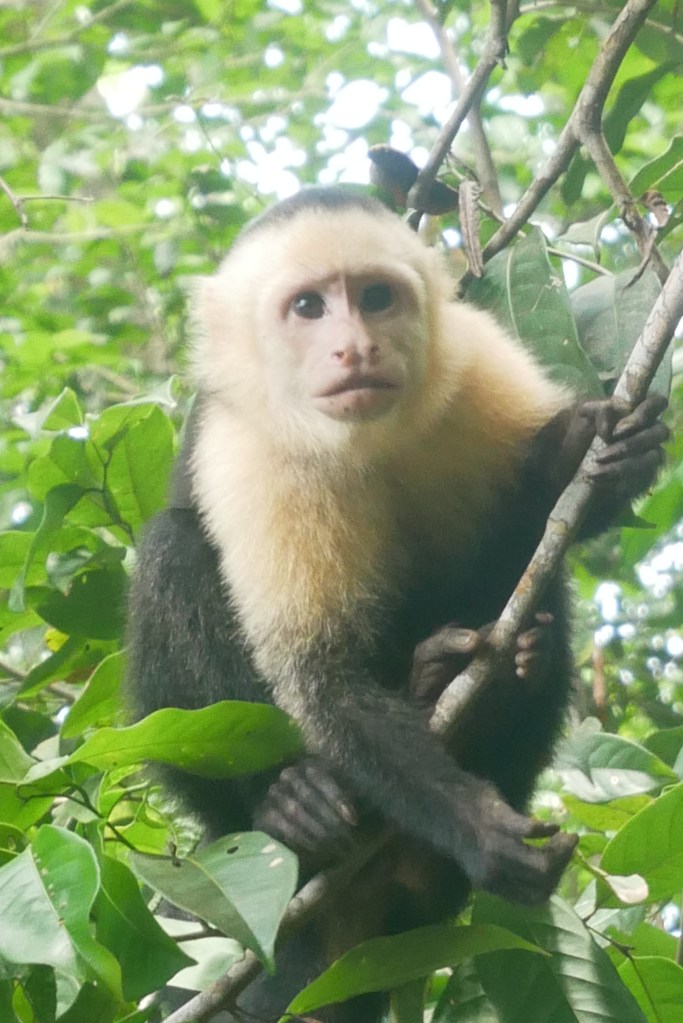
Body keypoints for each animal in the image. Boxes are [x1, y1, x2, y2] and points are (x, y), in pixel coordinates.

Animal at [127, 187, 668, 1022]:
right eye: (308, 307)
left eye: (375, 297)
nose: (354, 349)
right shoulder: (250, 452)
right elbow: (320, 675)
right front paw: (475, 824)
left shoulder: (476, 358)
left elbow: (538, 518)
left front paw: (586, 450)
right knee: (170, 550)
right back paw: (295, 806)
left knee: (530, 583)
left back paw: (497, 675)